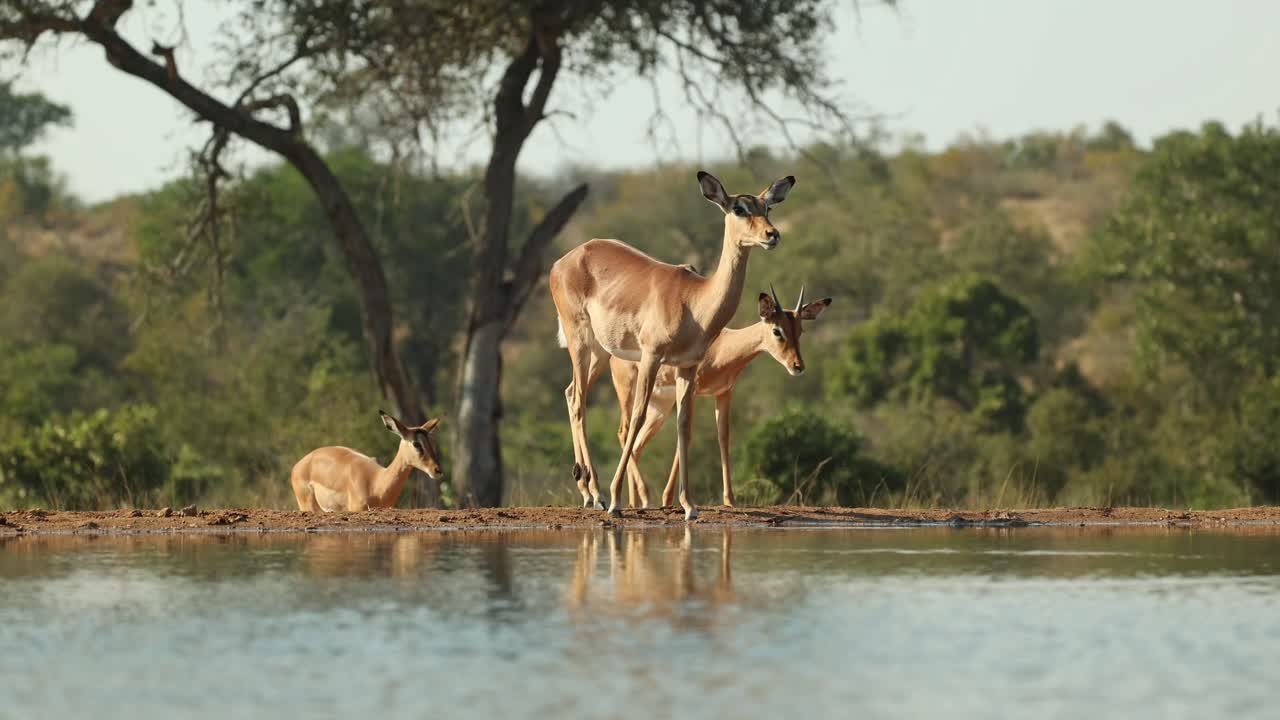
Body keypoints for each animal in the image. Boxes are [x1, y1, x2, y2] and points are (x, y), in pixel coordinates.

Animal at [550, 170, 796, 520]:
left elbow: (684, 426)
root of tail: (565, 260)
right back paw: (597, 495)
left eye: (768, 207)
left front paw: (689, 506)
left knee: (571, 393)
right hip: (580, 341)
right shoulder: (651, 357)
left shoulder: (687, 367)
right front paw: (616, 502)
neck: (694, 302)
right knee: (580, 403)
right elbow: (637, 418)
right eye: (739, 208)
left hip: (600, 352)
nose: (772, 235)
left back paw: (587, 492)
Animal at [612, 285, 832, 509]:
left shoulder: (724, 393)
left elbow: (723, 438)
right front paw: (667, 499)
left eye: (800, 330)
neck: (721, 348)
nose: (798, 366)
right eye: (777, 330)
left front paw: (730, 500)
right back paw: (641, 497)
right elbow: (686, 437)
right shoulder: (693, 392)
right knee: (624, 431)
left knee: (636, 445)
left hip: (660, 406)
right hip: (628, 392)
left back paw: (634, 503)